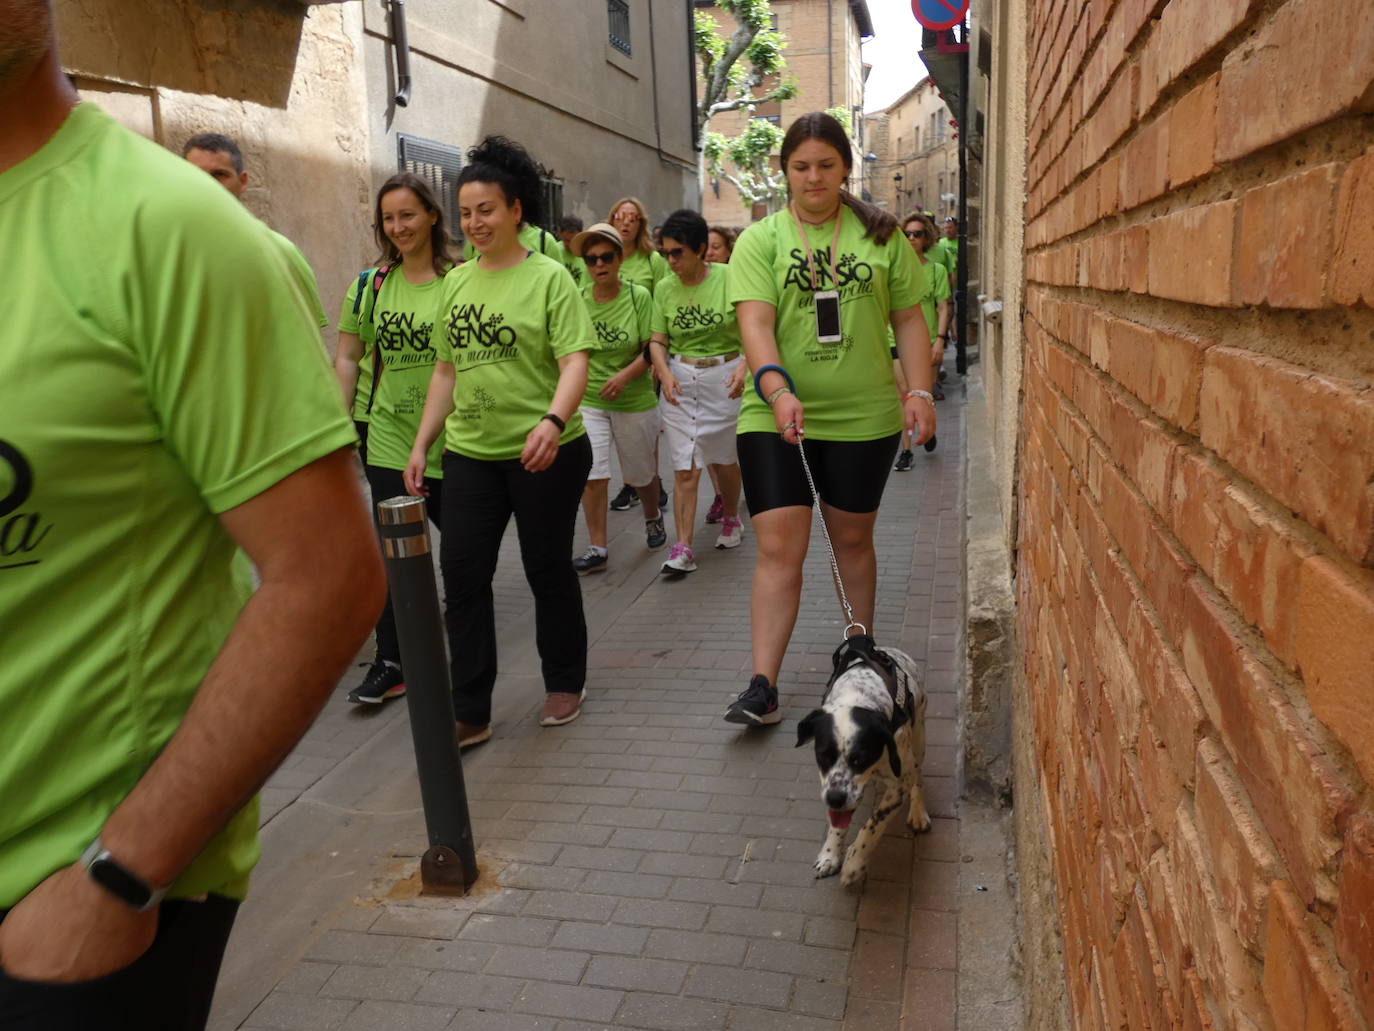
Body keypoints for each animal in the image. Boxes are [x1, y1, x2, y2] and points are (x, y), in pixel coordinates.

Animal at [796, 637, 934, 890]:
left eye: (860, 758)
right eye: (823, 756)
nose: (834, 799)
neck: (857, 696)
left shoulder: (899, 783)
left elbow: (874, 824)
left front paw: (854, 863)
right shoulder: (840, 788)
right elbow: (838, 824)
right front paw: (830, 855)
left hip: (919, 739)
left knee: (918, 778)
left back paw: (918, 812)